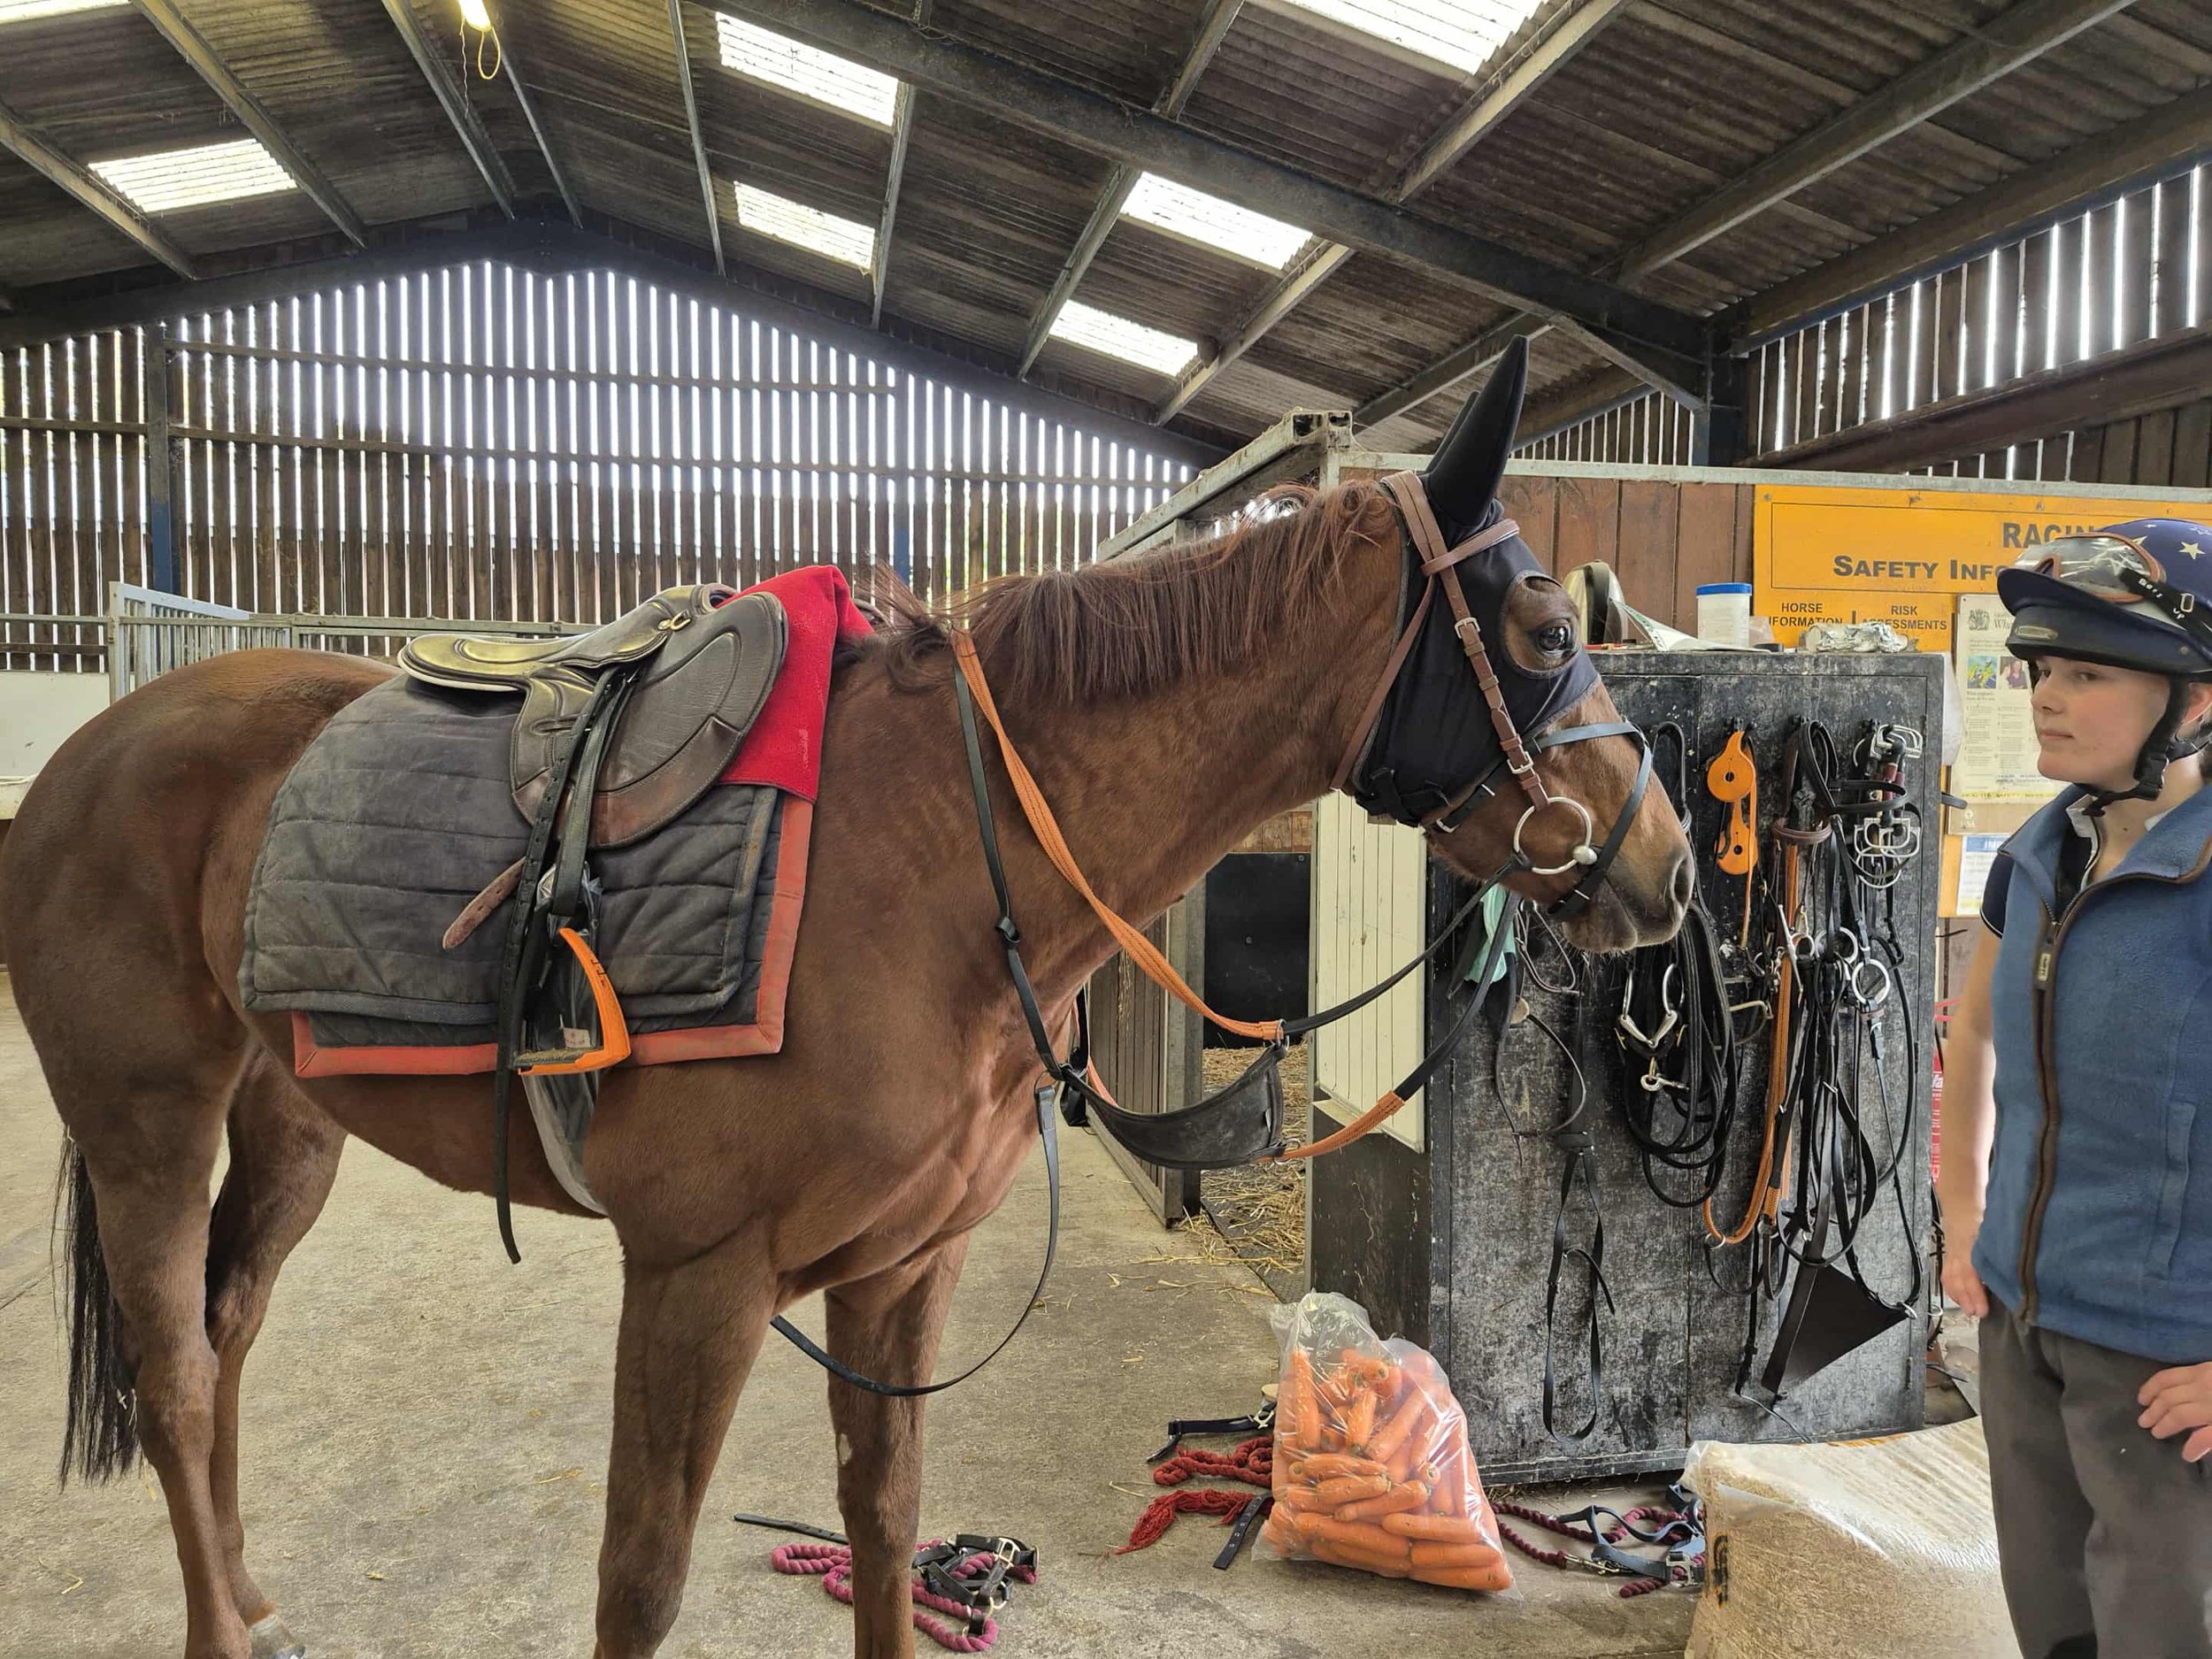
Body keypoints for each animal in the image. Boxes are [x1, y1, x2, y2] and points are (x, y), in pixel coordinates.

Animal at [0, 342, 1692, 1659]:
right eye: (1549, 632)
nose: (1666, 866)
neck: (939, 854)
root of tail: (90, 755)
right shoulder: (695, 1279)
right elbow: (641, 1582)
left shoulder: (901, 1269)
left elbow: (884, 1530)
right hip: (149, 1127)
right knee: (171, 1372)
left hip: (290, 1121)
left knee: (223, 1337)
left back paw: (247, 1590)